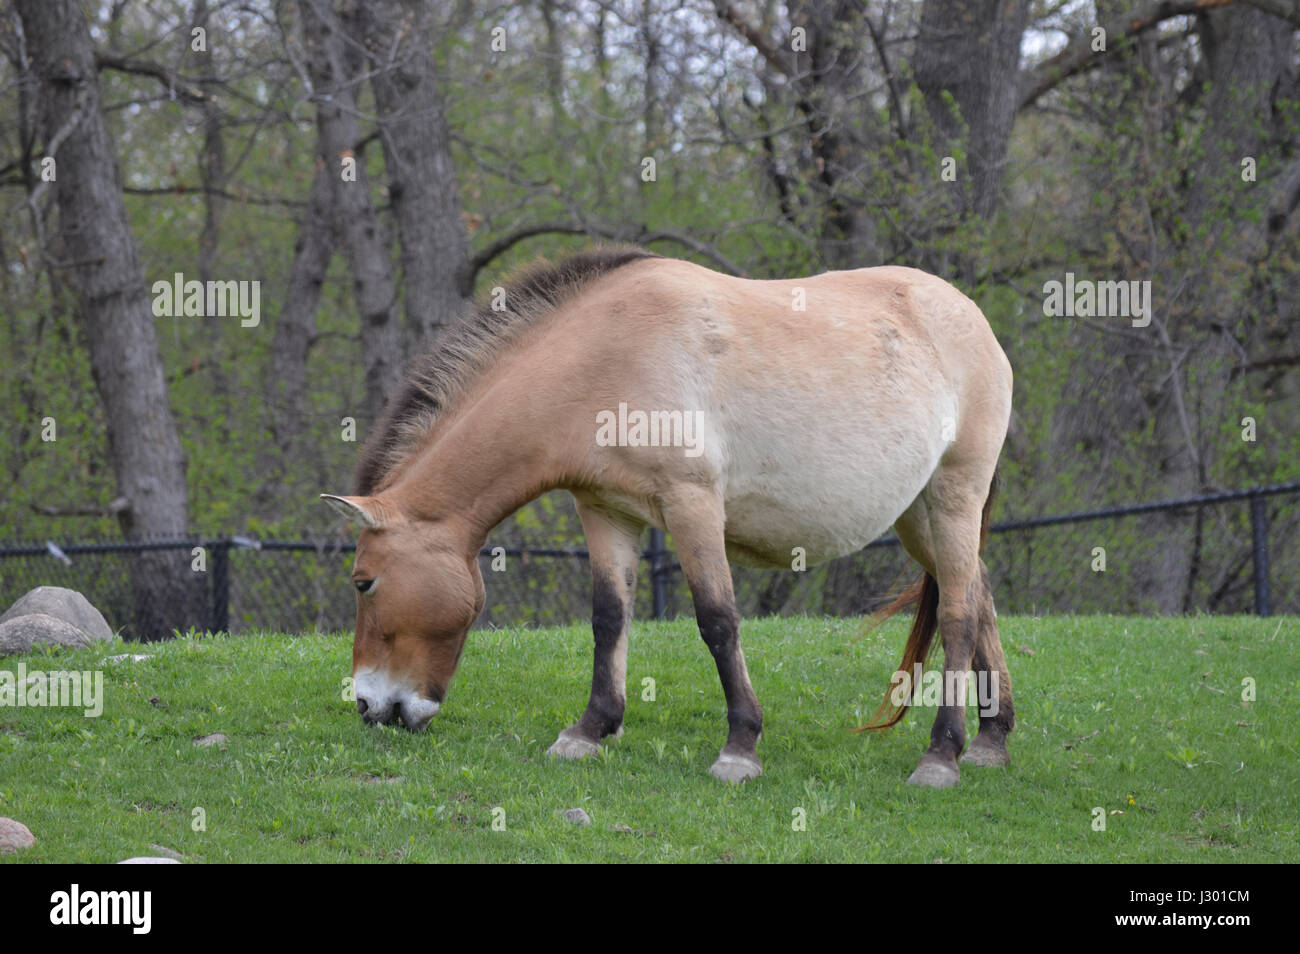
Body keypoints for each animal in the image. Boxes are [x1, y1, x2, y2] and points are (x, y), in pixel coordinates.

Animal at [322, 246, 1013, 790]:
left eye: (364, 582)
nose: (371, 705)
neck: (605, 356)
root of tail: (973, 319)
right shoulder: (605, 511)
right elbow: (609, 618)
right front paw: (590, 730)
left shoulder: (691, 504)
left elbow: (717, 620)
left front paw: (740, 749)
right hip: (918, 517)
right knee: (979, 596)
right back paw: (991, 739)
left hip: (953, 495)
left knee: (957, 613)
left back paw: (941, 756)